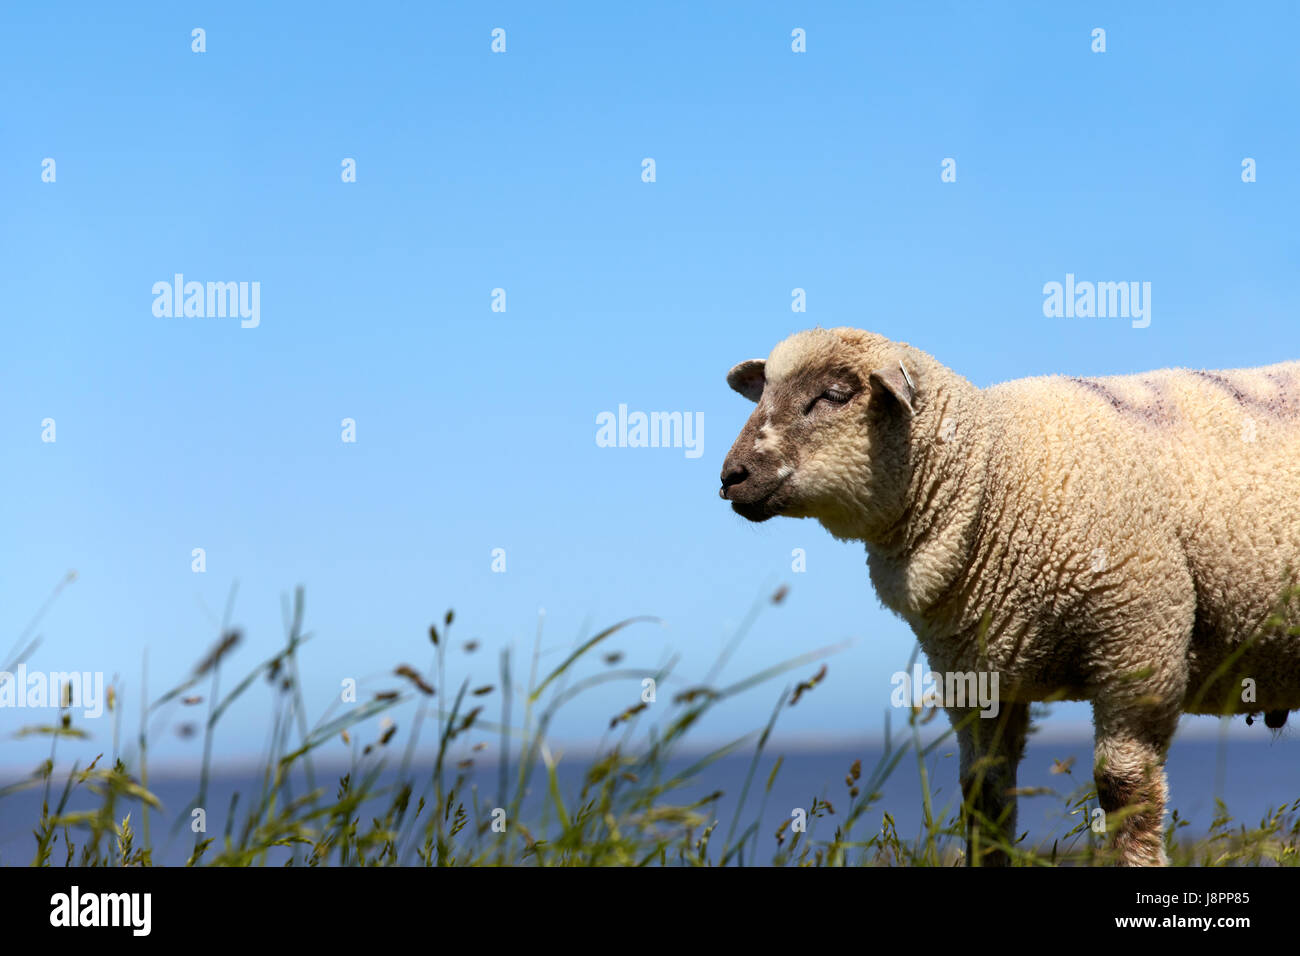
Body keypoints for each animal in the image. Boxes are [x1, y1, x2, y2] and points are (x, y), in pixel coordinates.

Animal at [719, 326, 1300, 866]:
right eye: (764, 391)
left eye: (834, 395)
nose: (730, 476)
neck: (990, 473)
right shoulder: (975, 677)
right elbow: (984, 798)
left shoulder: (1138, 644)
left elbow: (1123, 790)